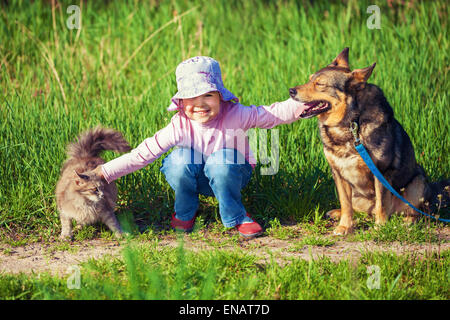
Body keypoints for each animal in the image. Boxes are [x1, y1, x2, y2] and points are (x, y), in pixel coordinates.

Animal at [290, 48, 448, 236]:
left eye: (320, 84)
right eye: (309, 79)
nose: (291, 91)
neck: (351, 122)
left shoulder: (381, 172)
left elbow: (381, 204)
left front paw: (380, 227)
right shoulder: (338, 174)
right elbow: (346, 205)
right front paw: (344, 226)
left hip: (417, 184)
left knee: (417, 212)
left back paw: (406, 221)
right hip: (358, 194)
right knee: (360, 210)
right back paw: (337, 213)